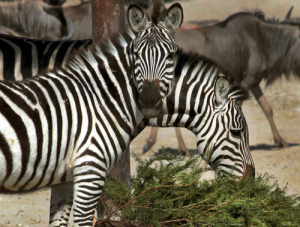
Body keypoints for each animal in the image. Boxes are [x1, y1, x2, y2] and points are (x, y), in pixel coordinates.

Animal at [0, 0, 183, 226]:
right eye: (137, 54)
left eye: (171, 55)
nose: (148, 99)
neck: (101, 99)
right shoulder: (90, 167)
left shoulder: (65, 177)